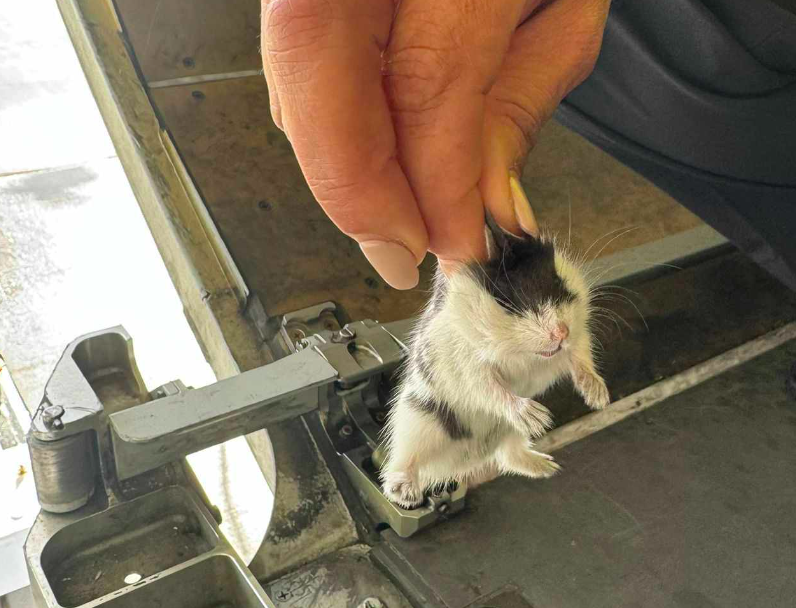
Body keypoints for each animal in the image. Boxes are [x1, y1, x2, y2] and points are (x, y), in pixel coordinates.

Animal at [379, 217, 610, 509]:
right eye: (506, 301)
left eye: (559, 282)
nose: (561, 333)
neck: (523, 352)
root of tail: (468, 462)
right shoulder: (470, 369)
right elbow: (494, 392)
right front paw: (539, 419)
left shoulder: (579, 337)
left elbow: (581, 358)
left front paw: (599, 398)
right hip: (417, 427)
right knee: (399, 469)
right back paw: (406, 494)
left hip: (507, 436)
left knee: (507, 458)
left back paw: (549, 467)